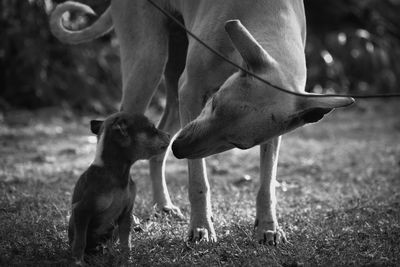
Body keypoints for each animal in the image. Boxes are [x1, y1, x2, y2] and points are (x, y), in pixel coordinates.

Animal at [50, 0, 354, 247]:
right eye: (215, 103)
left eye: (239, 143)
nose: (179, 150)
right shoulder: (192, 91)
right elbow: (199, 180)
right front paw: (201, 227)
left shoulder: (274, 132)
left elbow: (267, 183)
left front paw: (268, 227)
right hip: (148, 64)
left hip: (173, 88)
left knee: (159, 144)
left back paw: (163, 203)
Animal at [68, 112, 170, 264]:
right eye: (152, 128)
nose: (169, 134)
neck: (117, 174)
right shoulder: (81, 211)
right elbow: (80, 241)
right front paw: (78, 261)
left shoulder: (127, 214)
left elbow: (126, 241)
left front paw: (127, 260)